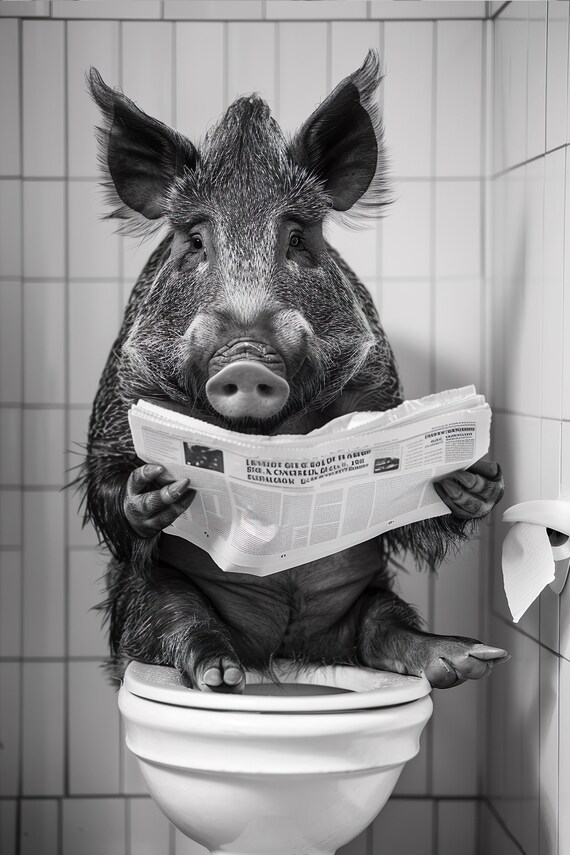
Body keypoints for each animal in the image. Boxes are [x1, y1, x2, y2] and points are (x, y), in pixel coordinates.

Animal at [81, 51, 507, 694]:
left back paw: (463, 659)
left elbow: (406, 515)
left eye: (299, 240)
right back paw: (221, 675)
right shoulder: (120, 396)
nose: (246, 355)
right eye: (196, 240)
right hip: (147, 599)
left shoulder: (377, 387)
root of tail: (278, 651)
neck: (264, 433)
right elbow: (108, 477)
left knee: (381, 625)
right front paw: (155, 485)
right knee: (179, 621)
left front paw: (471, 477)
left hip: (370, 598)